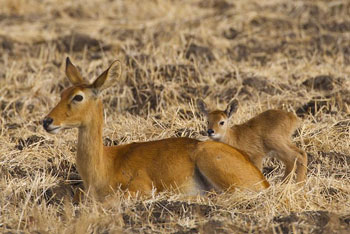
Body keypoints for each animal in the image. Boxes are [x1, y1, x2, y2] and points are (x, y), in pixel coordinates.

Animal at [43, 58, 268, 199]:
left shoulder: (139, 188)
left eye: (78, 97)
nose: (47, 121)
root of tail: (261, 179)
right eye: (62, 93)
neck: (104, 165)